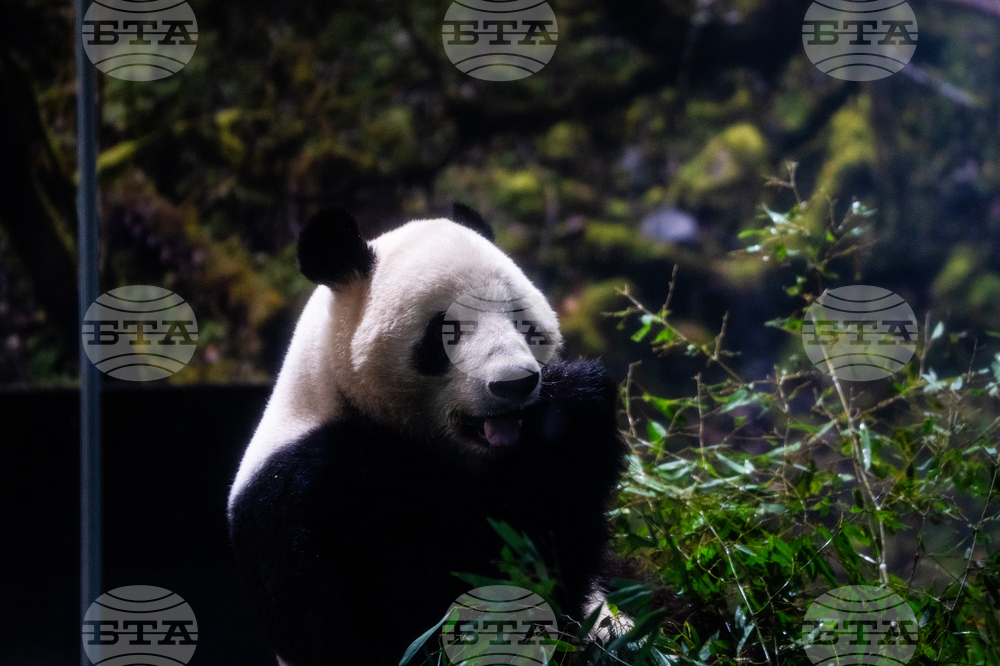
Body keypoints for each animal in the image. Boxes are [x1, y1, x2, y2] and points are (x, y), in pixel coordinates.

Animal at [227, 204, 628, 666]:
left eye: (523, 322)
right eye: (446, 330)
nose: (514, 383)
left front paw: (572, 408)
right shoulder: (307, 494)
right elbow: (401, 622)